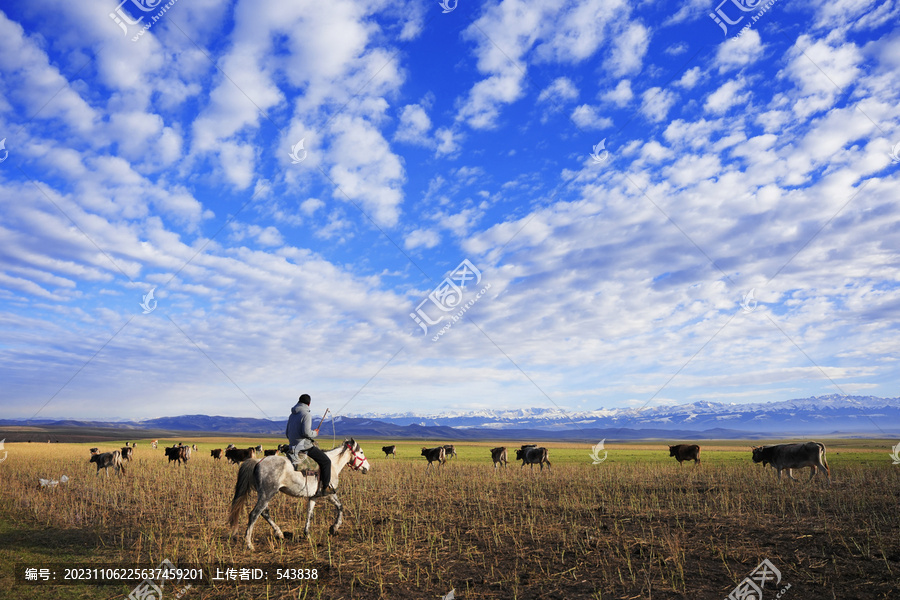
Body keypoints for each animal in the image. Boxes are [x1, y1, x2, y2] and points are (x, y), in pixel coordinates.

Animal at [229, 436, 370, 548]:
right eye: (361, 452)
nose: (367, 467)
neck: (333, 465)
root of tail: (258, 461)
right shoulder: (329, 493)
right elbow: (340, 507)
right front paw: (334, 528)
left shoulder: (313, 496)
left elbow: (309, 514)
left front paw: (307, 534)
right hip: (267, 494)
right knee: (254, 514)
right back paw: (249, 544)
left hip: (264, 494)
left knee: (264, 512)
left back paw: (279, 533)